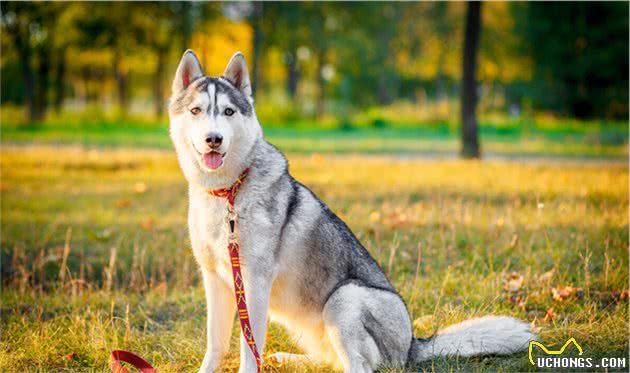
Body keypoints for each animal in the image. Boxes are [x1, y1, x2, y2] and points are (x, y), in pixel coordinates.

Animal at [169, 50, 540, 372]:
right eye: (196, 111)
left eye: (229, 112)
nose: (213, 139)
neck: (227, 192)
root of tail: (412, 345)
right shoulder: (215, 280)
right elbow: (216, 343)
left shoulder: (253, 282)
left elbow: (249, 348)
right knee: (329, 360)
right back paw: (290, 358)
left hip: (345, 297)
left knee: (358, 366)